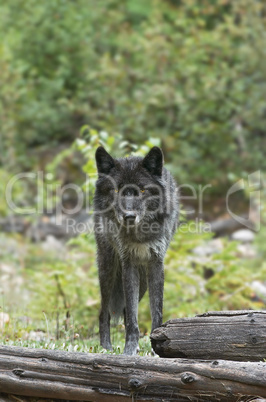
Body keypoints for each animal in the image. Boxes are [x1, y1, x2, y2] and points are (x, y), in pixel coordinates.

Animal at [93, 146, 179, 354]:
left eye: (142, 190)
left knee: (124, 309)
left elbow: (156, 310)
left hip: (142, 282)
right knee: (104, 312)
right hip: (108, 269)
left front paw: (157, 345)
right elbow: (132, 317)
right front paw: (129, 350)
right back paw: (106, 347)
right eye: (116, 190)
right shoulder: (128, 264)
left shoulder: (156, 263)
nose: (129, 216)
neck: (140, 234)